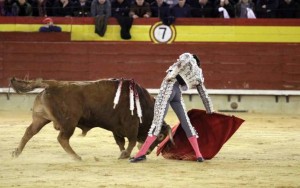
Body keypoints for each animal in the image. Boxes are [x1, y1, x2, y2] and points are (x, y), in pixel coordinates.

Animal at [9, 77, 173, 161]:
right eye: (160, 136)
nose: (148, 152)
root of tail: (52, 84)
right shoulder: (131, 125)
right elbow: (131, 141)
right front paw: (126, 154)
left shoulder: (117, 128)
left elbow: (121, 142)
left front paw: (123, 154)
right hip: (69, 122)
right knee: (62, 138)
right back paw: (76, 157)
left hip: (41, 118)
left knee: (29, 132)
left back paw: (16, 152)